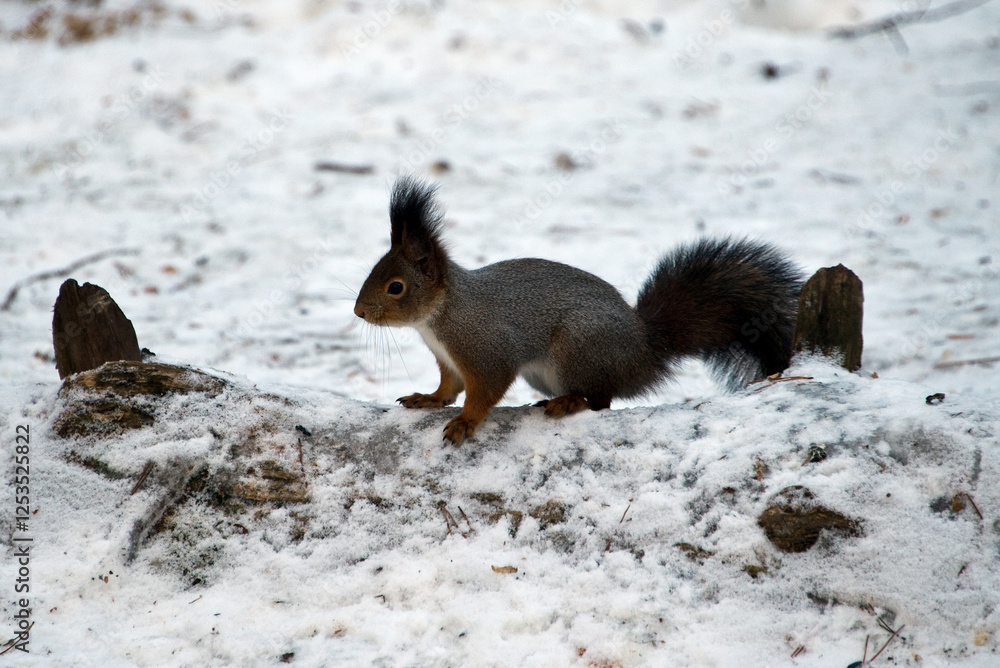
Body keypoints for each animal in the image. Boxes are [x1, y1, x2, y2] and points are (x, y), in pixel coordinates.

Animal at [354, 177, 804, 445]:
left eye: (396, 287)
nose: (359, 312)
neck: (439, 316)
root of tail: (644, 351)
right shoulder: (449, 359)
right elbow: (449, 388)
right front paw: (427, 399)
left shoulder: (487, 348)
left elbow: (486, 391)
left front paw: (466, 422)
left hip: (580, 348)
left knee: (602, 399)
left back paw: (570, 402)